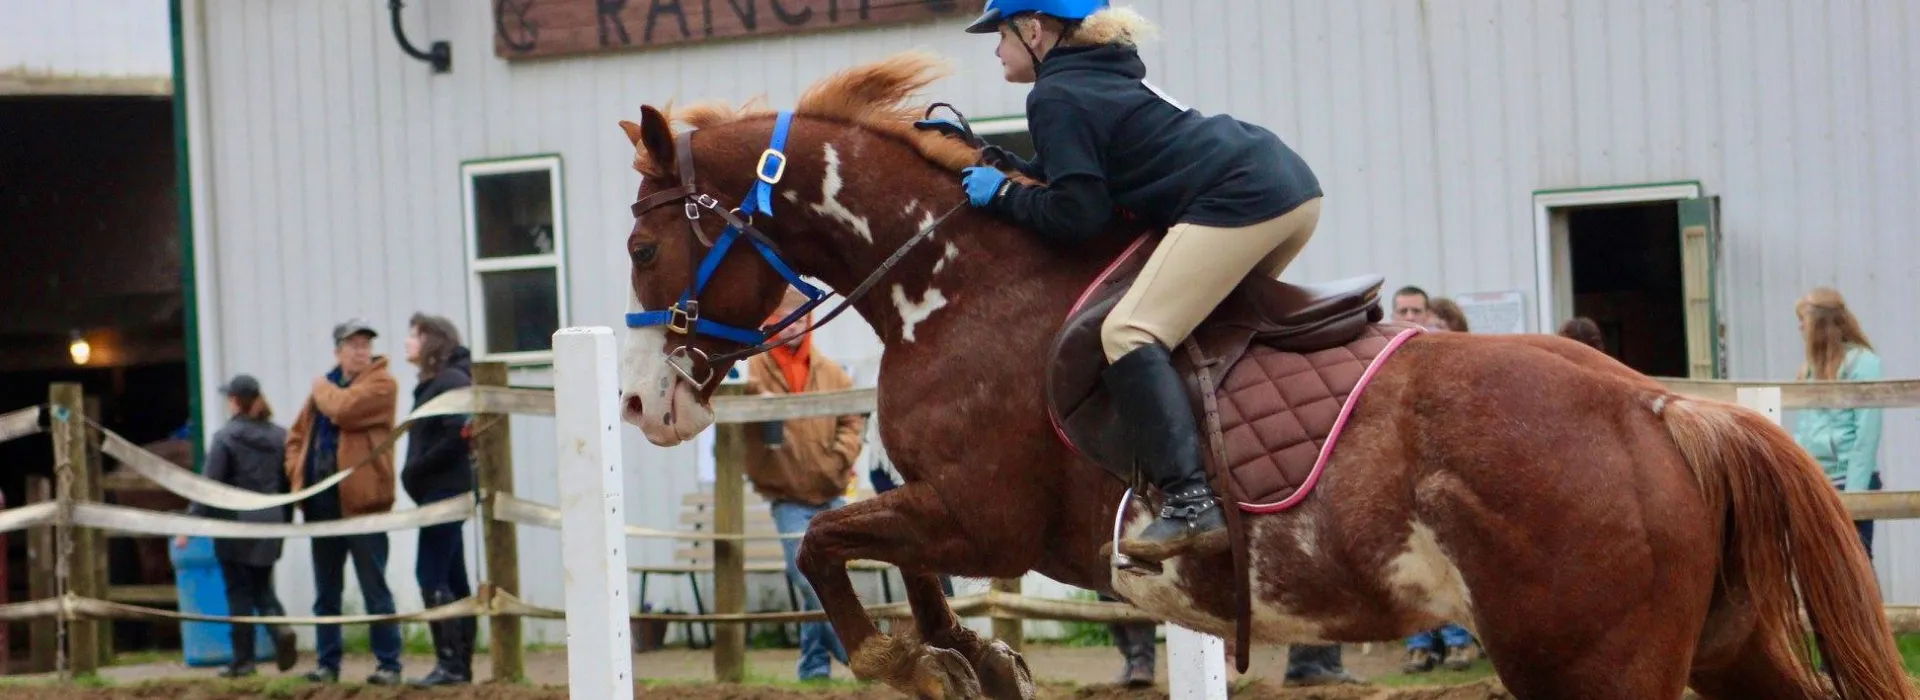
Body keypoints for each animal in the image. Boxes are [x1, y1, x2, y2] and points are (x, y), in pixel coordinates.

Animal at [612, 53, 1911, 700]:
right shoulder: (952, 517)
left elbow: (841, 542)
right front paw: (968, 661)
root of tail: (1664, 407)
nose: (636, 403)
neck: (952, 275)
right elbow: (889, 560)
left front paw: (905, 661)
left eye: (637, 246)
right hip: (1727, 644)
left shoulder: (986, 515)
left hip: (1595, 665)